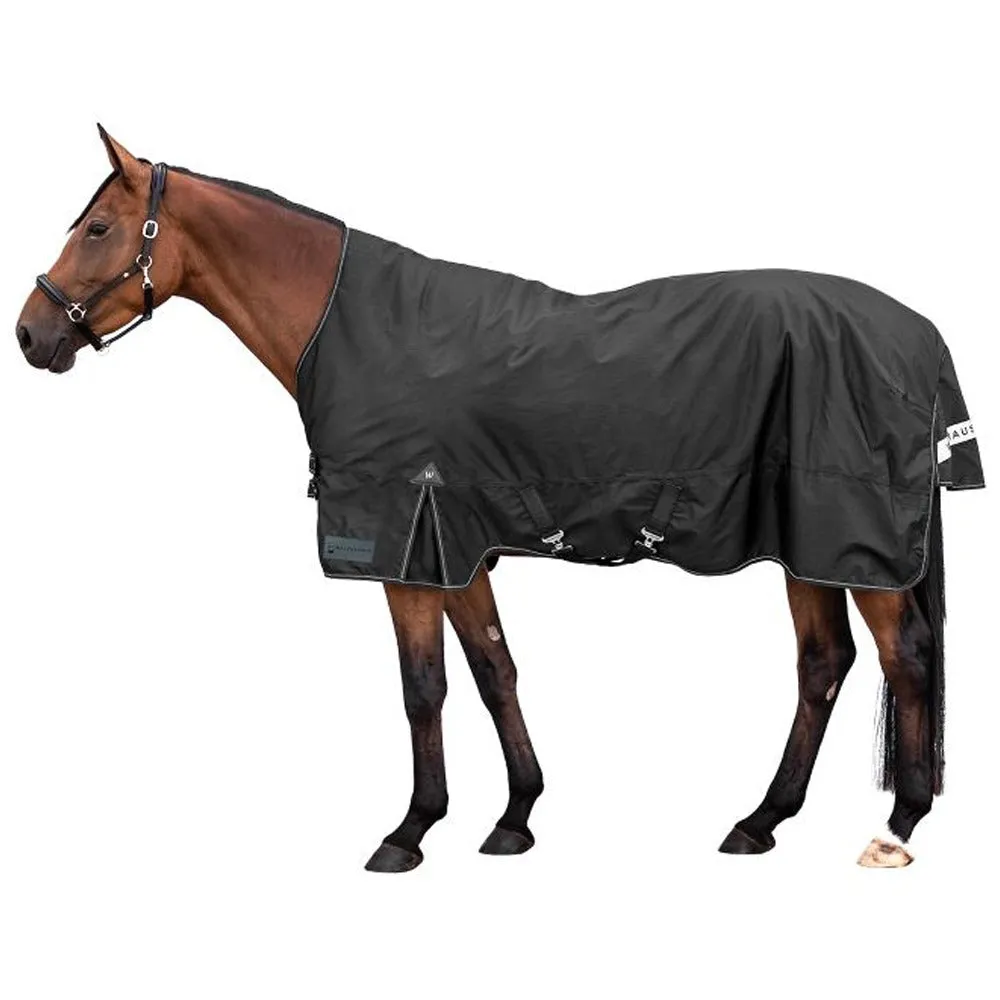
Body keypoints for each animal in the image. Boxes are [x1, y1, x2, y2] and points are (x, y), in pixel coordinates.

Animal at [15, 126, 983, 872]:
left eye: (96, 227)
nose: (30, 333)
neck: (349, 326)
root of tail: (917, 334)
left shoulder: (405, 548)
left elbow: (424, 687)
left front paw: (409, 831)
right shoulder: (457, 545)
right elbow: (492, 669)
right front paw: (515, 817)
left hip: (853, 542)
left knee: (905, 659)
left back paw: (896, 827)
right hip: (809, 544)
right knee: (824, 665)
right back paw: (759, 821)